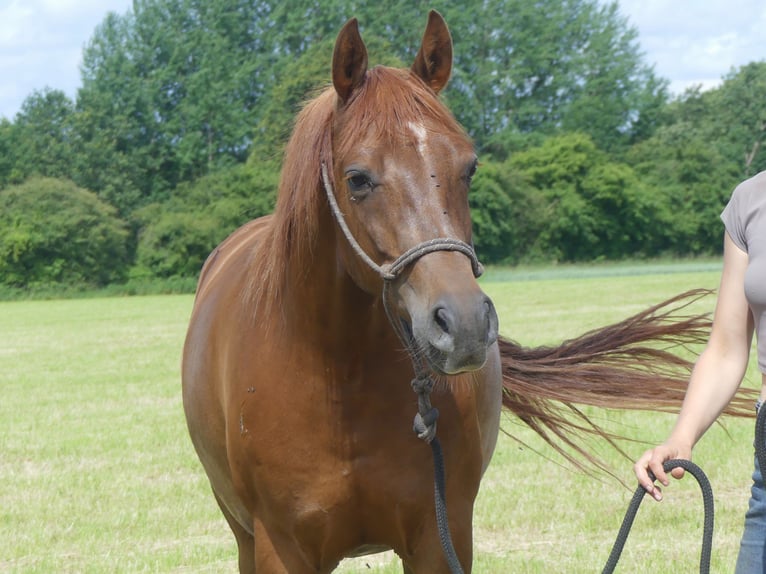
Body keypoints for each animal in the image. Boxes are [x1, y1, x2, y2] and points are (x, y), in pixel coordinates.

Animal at [184, 10, 756, 574]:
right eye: (357, 178)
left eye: (470, 167)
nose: (463, 326)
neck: (337, 379)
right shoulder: (281, 546)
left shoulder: (443, 536)